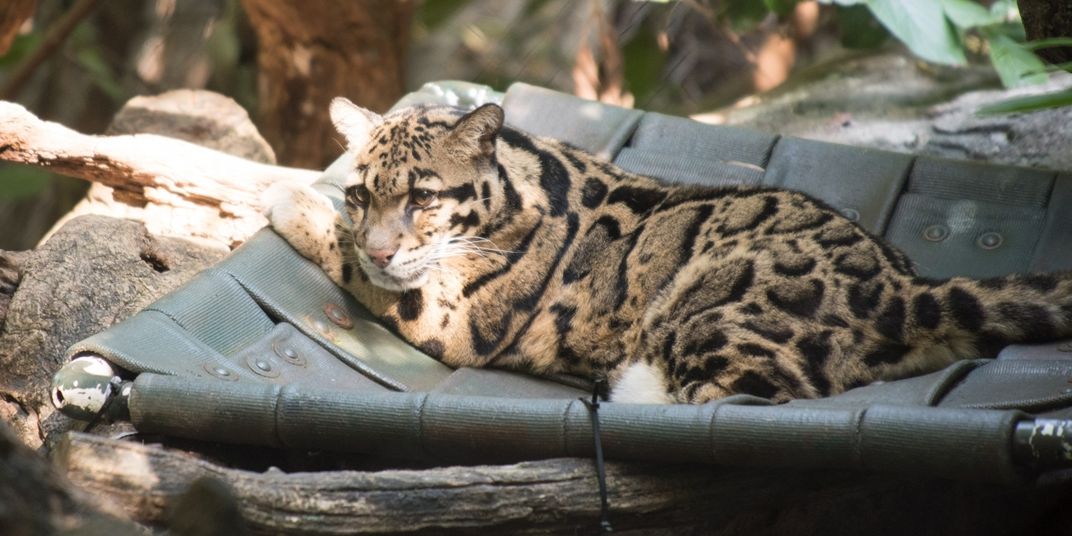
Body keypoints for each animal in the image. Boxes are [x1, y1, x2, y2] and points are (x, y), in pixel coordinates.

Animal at [263, 98, 1072, 403]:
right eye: (362, 193)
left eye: (423, 199)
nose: (380, 244)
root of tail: (913, 288)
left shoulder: (458, 317)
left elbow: (369, 274)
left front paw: (291, 201)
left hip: (712, 316)